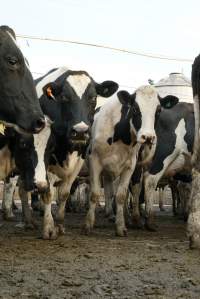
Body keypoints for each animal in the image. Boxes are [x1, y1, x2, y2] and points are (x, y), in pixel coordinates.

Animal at [83, 85, 178, 238]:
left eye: (158, 111)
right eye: (135, 108)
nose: (148, 137)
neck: (121, 136)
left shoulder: (130, 166)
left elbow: (121, 195)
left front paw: (121, 226)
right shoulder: (95, 162)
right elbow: (94, 193)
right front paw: (88, 225)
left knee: (127, 190)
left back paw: (125, 217)